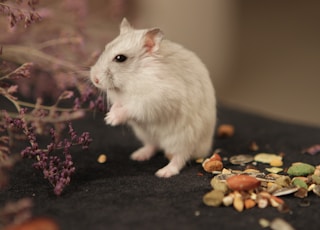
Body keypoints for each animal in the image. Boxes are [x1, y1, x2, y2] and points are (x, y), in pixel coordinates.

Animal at [89, 18, 218, 178]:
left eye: (120, 58)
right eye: (106, 48)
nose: (94, 79)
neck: (131, 78)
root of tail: (204, 148)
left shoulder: (155, 99)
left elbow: (131, 108)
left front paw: (110, 120)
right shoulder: (121, 100)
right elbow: (118, 105)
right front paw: (109, 116)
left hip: (183, 139)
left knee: (180, 157)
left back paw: (163, 173)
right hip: (146, 134)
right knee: (153, 146)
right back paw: (137, 156)